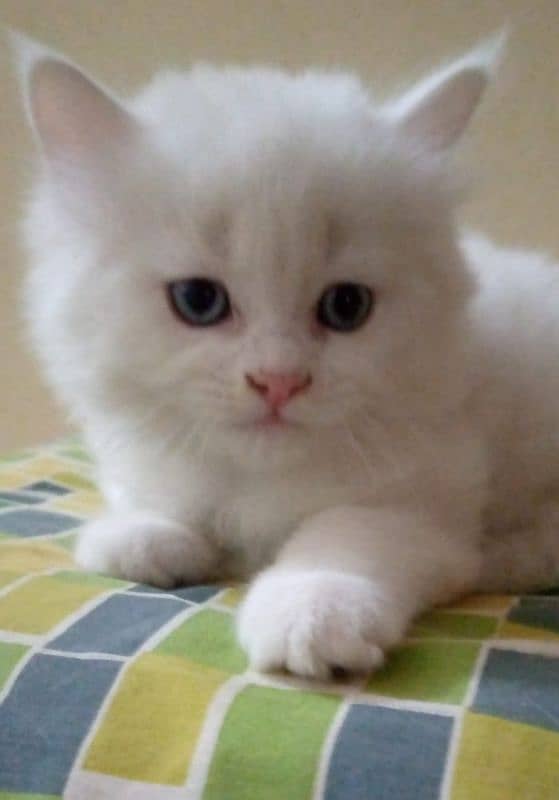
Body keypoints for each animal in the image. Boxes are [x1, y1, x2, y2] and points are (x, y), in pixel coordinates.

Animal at [15, 34, 559, 680]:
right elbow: (147, 499)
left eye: (347, 306)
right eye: (198, 300)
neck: (254, 484)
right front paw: (149, 536)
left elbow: (343, 537)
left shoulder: (419, 499)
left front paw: (313, 612)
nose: (278, 380)